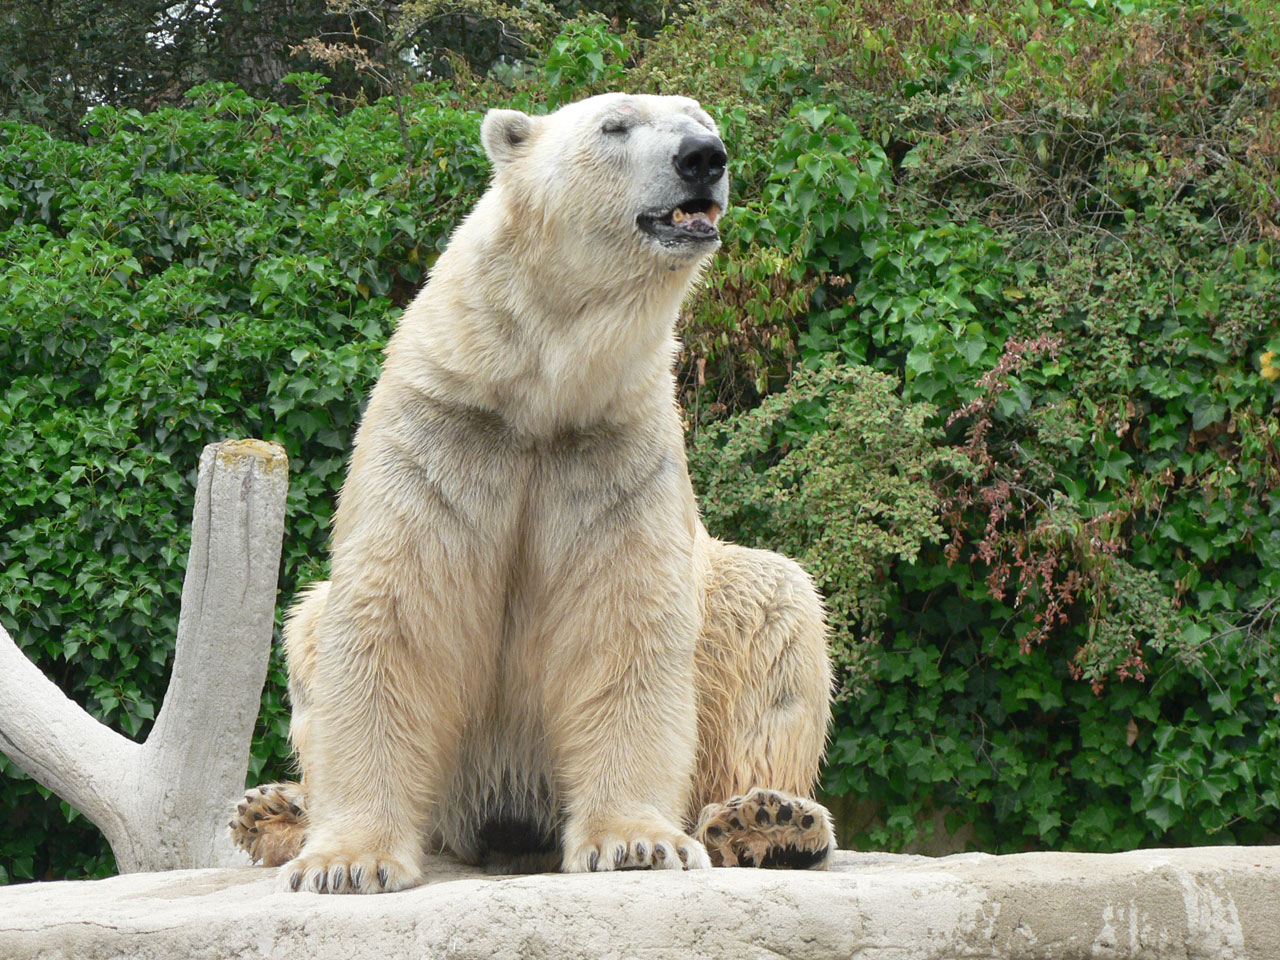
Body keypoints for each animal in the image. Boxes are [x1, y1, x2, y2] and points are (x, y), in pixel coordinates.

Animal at [227, 92, 829, 896]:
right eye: (615, 125)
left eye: (703, 118)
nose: (704, 156)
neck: (540, 386)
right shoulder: (446, 427)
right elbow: (391, 614)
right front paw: (346, 861)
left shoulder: (611, 446)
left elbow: (626, 618)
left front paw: (636, 842)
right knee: (310, 625)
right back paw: (275, 810)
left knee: (775, 615)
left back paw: (765, 819)